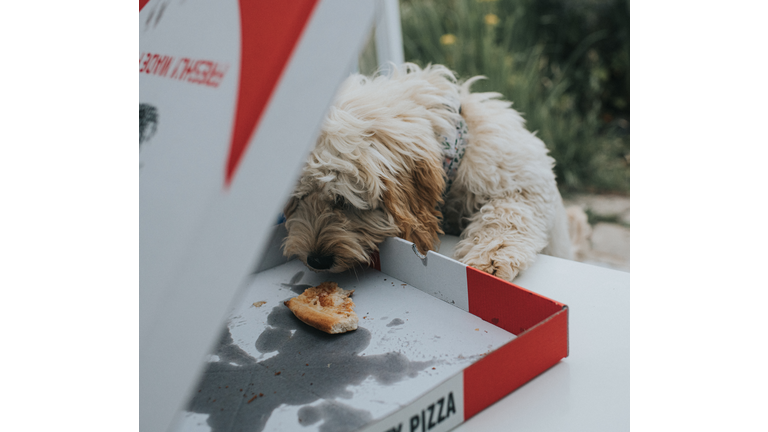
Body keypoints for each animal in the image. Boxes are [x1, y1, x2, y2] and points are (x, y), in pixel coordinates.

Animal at [282, 63, 584, 280]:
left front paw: (490, 256)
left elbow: (507, 215)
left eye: (343, 201)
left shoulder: (525, 184)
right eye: (297, 200)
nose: (316, 260)